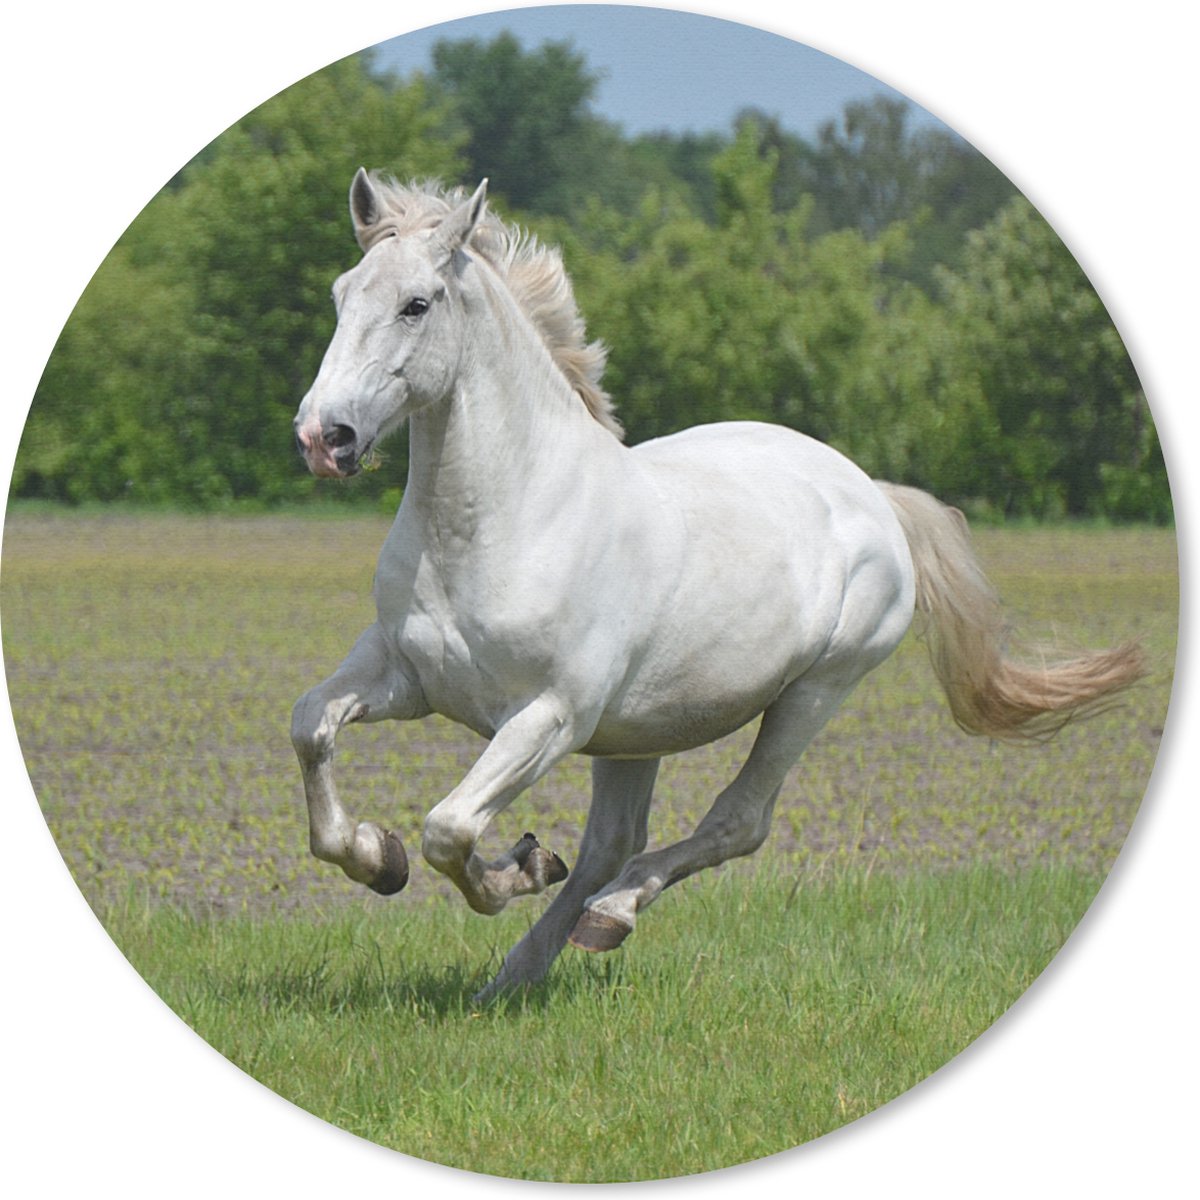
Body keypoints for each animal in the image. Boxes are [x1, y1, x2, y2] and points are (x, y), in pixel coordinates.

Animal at [291, 172, 1143, 1002]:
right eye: (341, 293)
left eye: (416, 304)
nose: (323, 437)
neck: (503, 520)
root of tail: (872, 492)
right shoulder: (405, 676)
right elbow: (312, 729)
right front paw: (378, 857)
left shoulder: (549, 716)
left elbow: (450, 828)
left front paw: (513, 869)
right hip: (635, 731)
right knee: (612, 843)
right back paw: (518, 973)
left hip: (813, 692)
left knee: (735, 823)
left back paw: (607, 916)